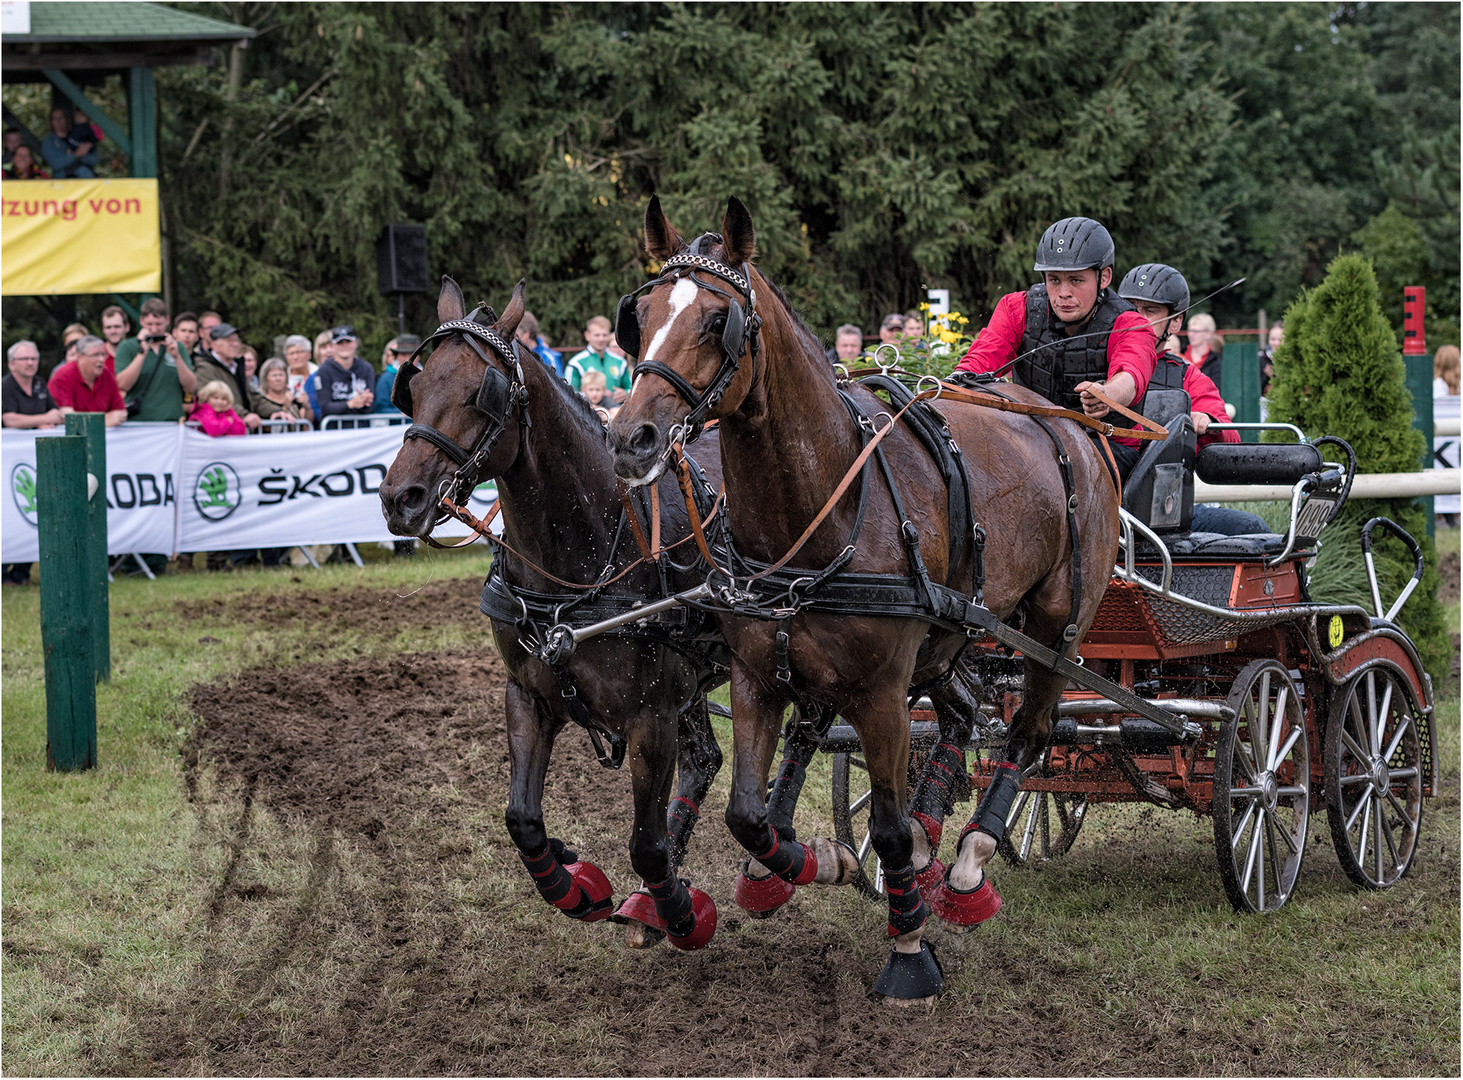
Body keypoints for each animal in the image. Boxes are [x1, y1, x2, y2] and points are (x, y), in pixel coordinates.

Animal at [383, 279, 731, 948]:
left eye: (482, 392)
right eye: (414, 385)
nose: (399, 498)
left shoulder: (652, 717)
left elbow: (646, 844)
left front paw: (678, 910)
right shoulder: (529, 694)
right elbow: (522, 818)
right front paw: (575, 885)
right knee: (706, 760)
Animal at [605, 196, 1117, 1000]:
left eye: (717, 320)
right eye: (643, 313)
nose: (631, 438)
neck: (826, 505)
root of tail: (1075, 426)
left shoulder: (879, 693)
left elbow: (886, 824)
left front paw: (908, 950)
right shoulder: (757, 676)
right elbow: (747, 814)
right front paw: (809, 865)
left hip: (1056, 627)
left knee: (1027, 732)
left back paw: (968, 862)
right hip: (952, 633)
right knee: (965, 711)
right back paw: (935, 847)